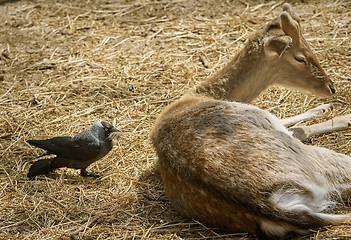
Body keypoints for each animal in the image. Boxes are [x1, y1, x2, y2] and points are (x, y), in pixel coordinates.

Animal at [151, 2, 351, 239]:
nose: (331, 88)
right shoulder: (265, 118)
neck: (197, 95)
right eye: (300, 57)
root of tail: (272, 205)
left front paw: (324, 108)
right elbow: (298, 129)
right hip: (314, 160)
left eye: (311, 47)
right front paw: (342, 115)